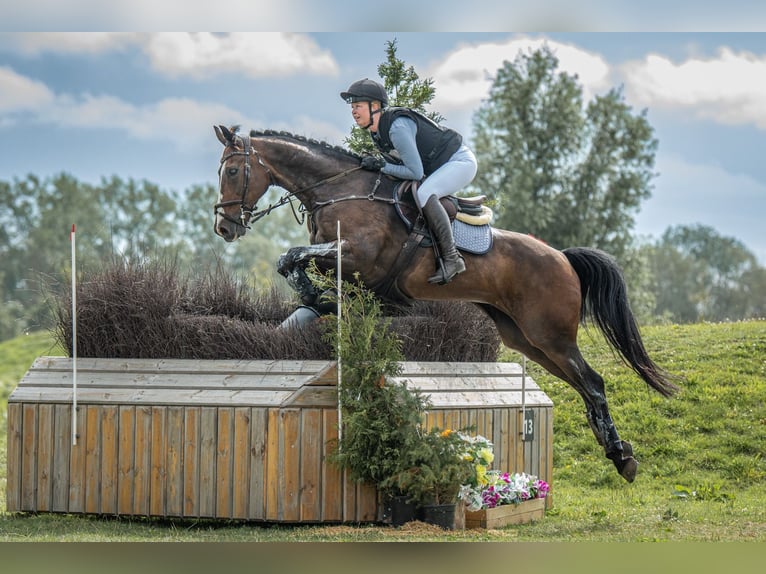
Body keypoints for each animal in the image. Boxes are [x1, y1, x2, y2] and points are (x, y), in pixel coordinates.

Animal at [213, 124, 680, 484]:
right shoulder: (344, 268)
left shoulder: (356, 255)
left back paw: (621, 456)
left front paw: (313, 295)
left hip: (550, 334)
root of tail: (563, 258)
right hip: (526, 338)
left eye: (233, 170)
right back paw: (616, 449)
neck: (339, 190)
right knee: (582, 384)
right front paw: (316, 301)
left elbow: (292, 256)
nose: (224, 227)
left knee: (593, 382)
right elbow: (295, 269)